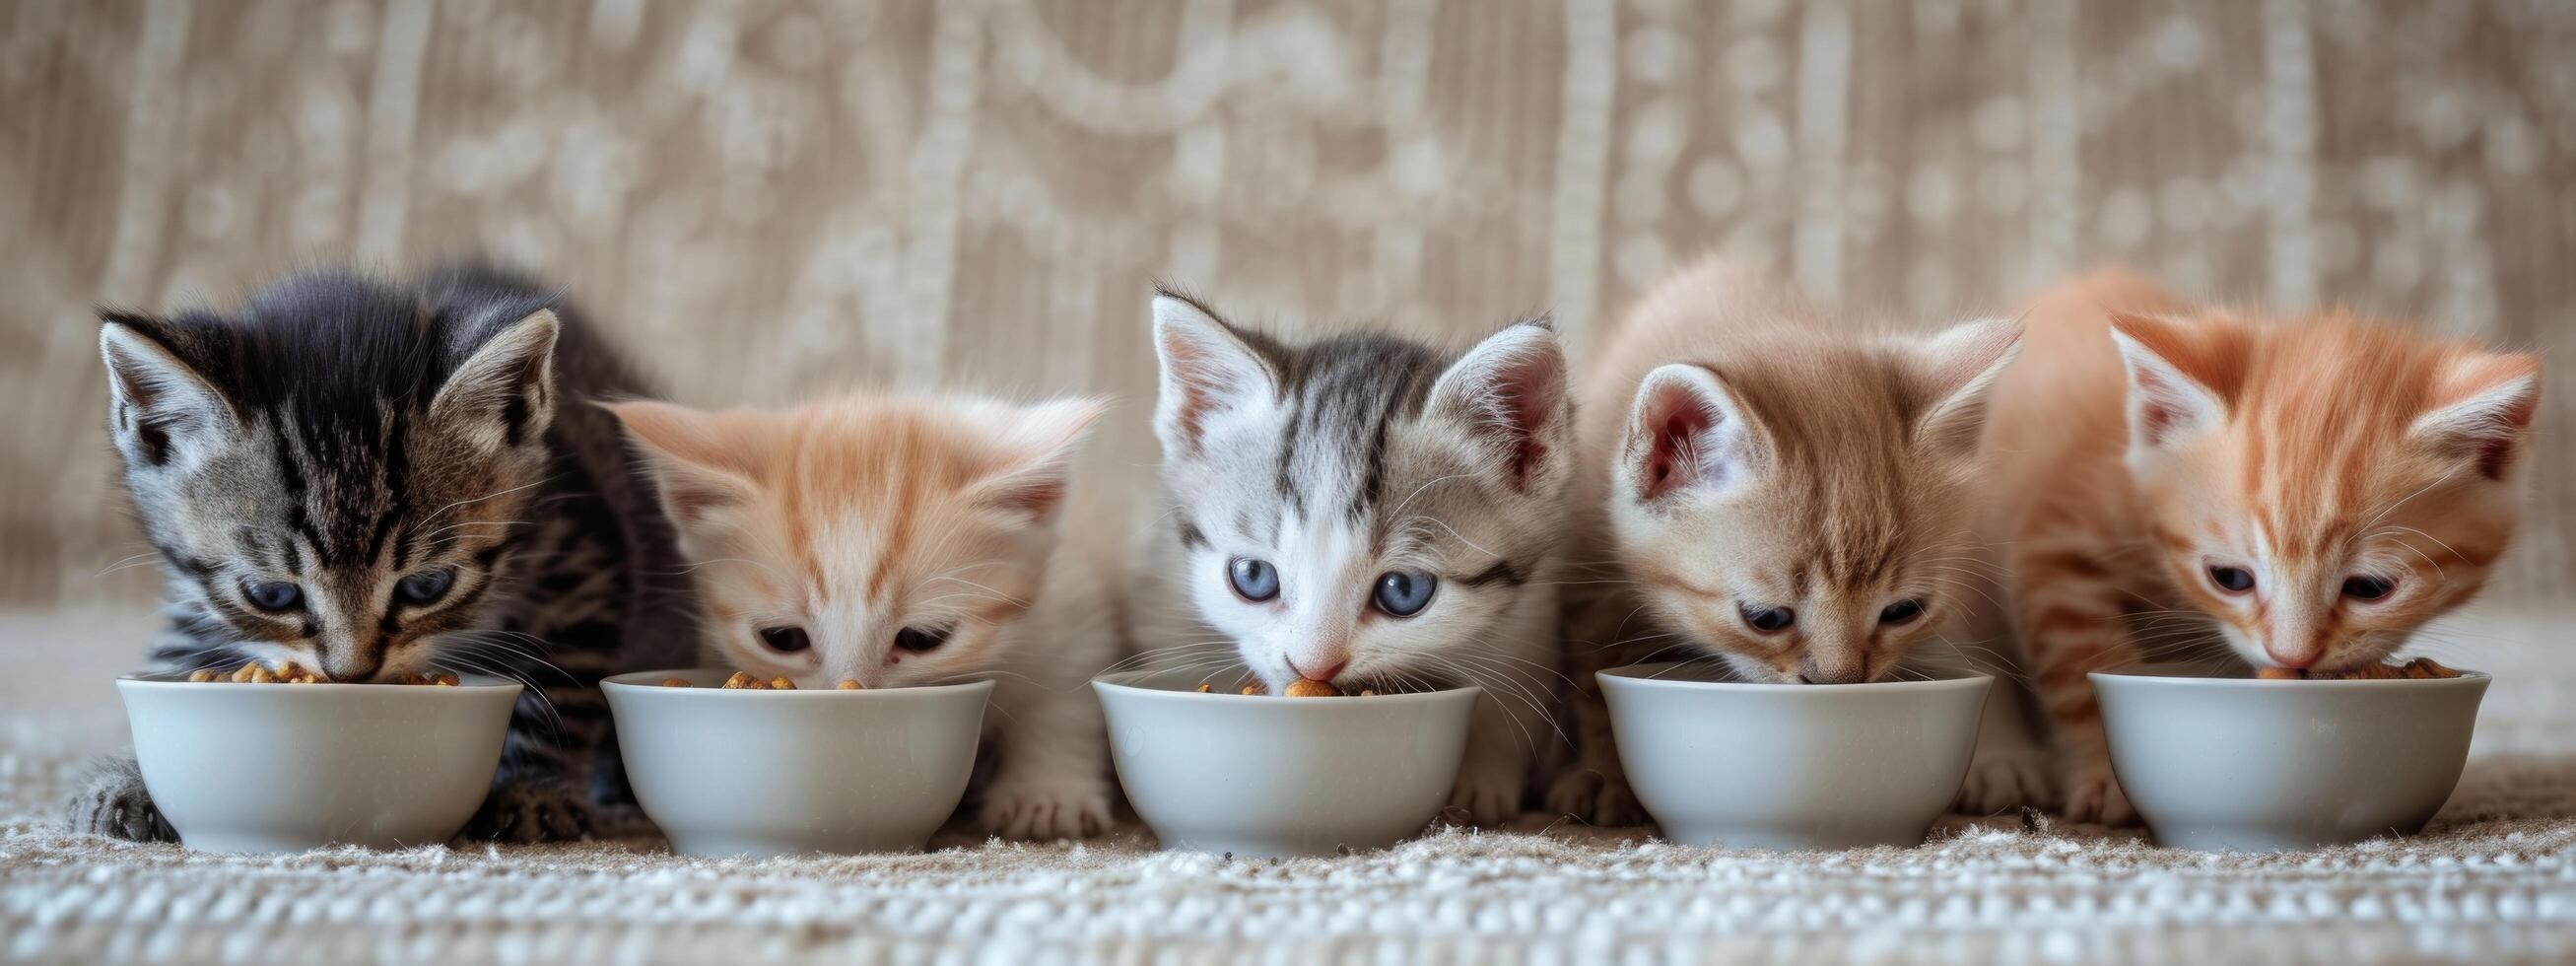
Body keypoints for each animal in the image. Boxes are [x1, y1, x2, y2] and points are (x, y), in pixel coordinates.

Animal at [70, 262, 695, 839]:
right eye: (271, 594)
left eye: (426, 587)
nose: (352, 674)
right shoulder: (192, 590)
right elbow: (179, 654)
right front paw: (126, 779)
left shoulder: (581, 562)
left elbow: (559, 692)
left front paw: (532, 788)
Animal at [618, 391, 1122, 839]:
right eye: (782, 638)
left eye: (923, 639)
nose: (849, 695)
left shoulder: (1071, 604)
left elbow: (1063, 701)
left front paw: (1048, 795)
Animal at [1138, 290, 1576, 824]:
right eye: (1253, 576)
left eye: (1403, 590)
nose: (1313, 669)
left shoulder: (1530, 617)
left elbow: (1509, 692)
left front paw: (1482, 779)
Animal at [1534, 258, 2019, 834]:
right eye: (1765, 618)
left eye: (1903, 611)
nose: (1838, 683)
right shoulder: (1588, 563)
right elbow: (1593, 679)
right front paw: (1603, 771)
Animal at [1978, 273, 2544, 824]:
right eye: (2229, 579)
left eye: (2370, 588)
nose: (2292, 657)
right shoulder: (2056, 542)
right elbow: (2081, 672)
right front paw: (2105, 775)